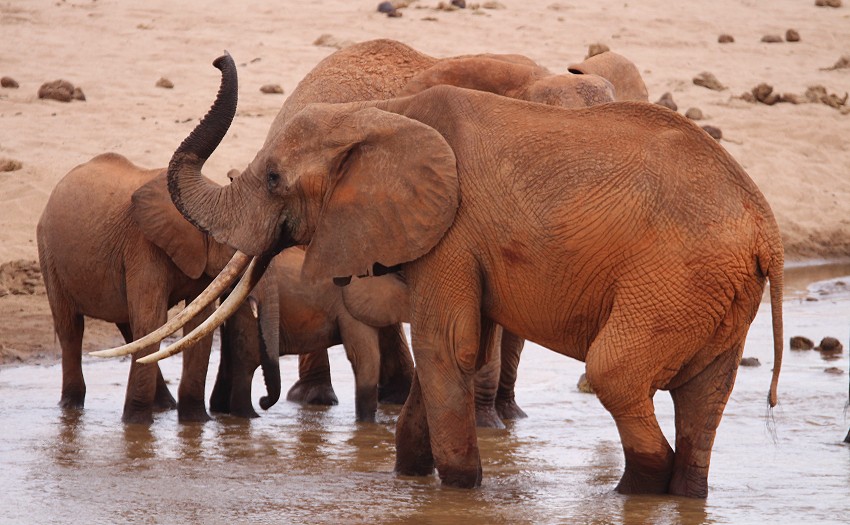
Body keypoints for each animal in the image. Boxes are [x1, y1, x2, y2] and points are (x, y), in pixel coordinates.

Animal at [37, 154, 282, 424]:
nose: (263, 403)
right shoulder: (143, 245)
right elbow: (152, 319)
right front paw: (136, 425)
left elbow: (197, 325)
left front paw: (196, 422)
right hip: (49, 255)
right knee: (71, 328)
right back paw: (71, 407)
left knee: (130, 329)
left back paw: (165, 406)